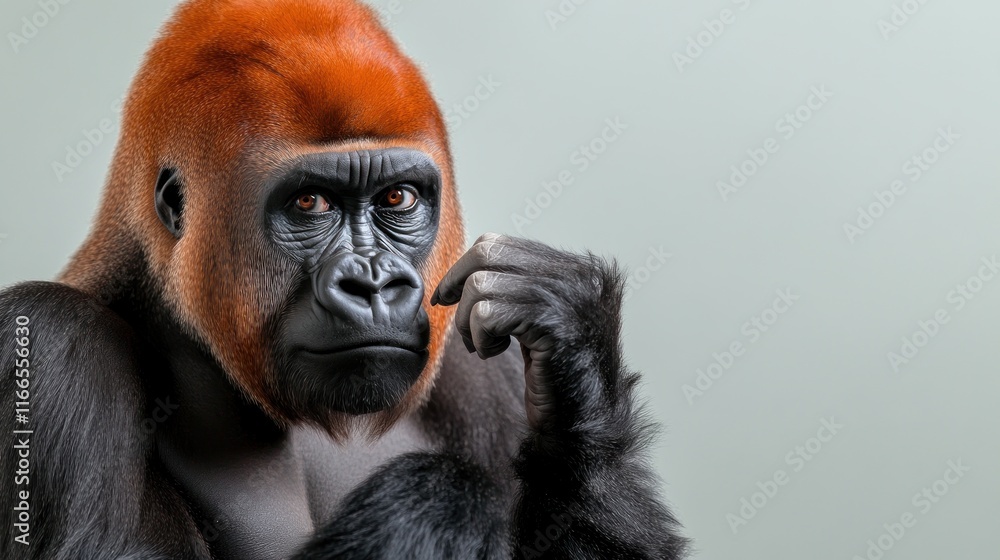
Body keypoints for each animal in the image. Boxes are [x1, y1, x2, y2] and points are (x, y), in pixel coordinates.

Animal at [0, 0, 688, 558]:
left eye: (397, 197)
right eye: (310, 203)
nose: (375, 285)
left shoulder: (466, 350)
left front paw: (571, 351)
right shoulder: (54, 341)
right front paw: (432, 507)